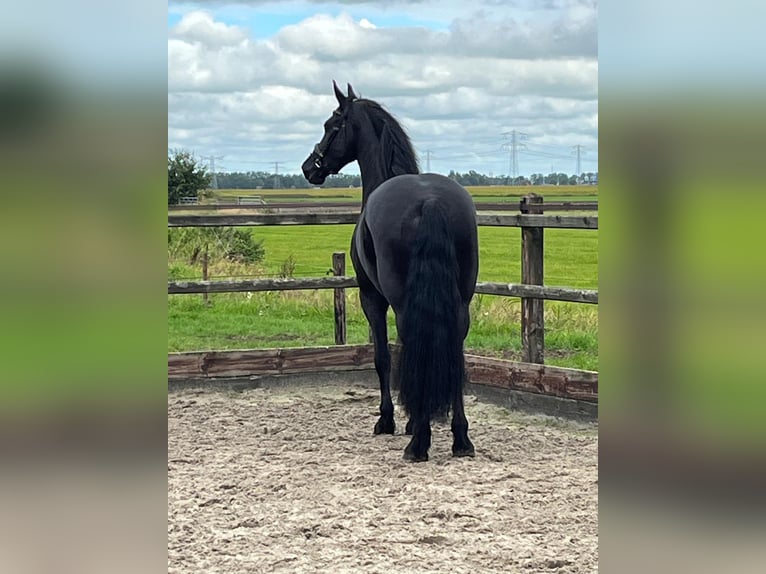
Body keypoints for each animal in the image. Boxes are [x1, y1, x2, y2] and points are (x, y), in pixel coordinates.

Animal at [302, 82, 479, 462]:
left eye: (330, 125)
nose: (310, 167)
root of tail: (430, 201)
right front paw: (411, 421)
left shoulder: (371, 298)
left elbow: (383, 357)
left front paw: (389, 420)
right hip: (460, 302)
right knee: (454, 354)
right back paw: (460, 438)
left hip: (399, 302)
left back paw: (419, 443)